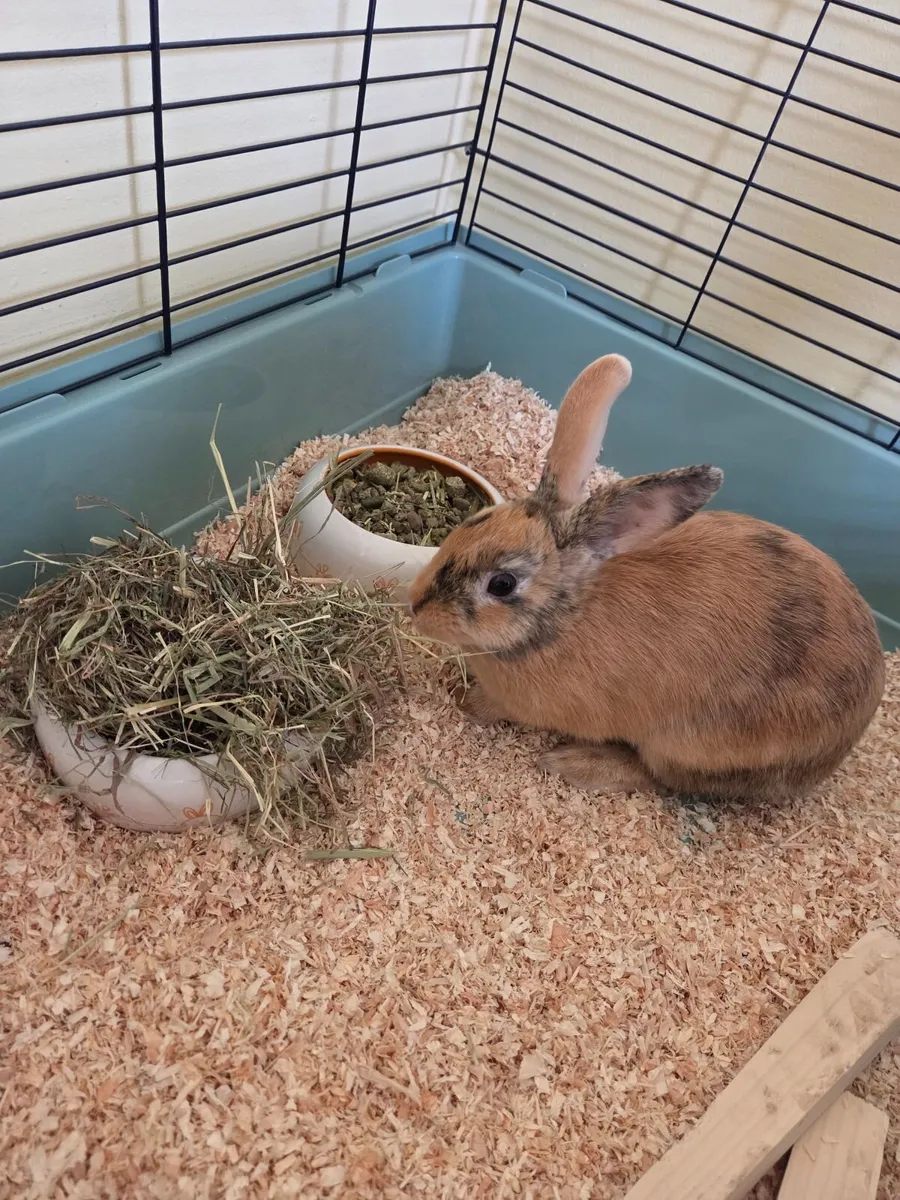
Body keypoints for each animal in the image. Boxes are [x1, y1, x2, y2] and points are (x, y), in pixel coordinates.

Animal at [408, 354, 885, 802]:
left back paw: (576, 763)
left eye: (502, 584)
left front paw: (464, 701)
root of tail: (836, 752)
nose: (416, 606)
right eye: (474, 522)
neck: (563, 619)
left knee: (661, 780)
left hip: (685, 748)